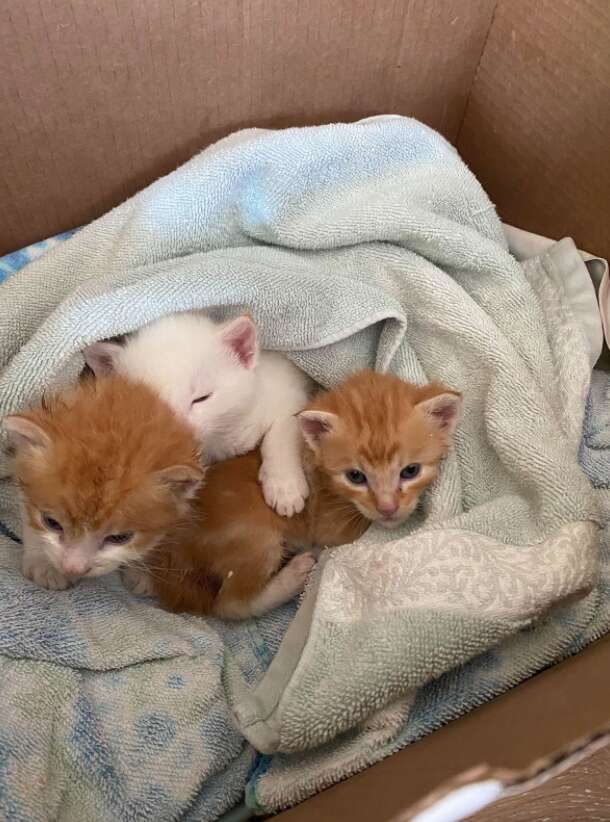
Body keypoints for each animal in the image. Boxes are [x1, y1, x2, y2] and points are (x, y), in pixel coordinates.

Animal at [83, 314, 312, 516]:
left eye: (201, 398)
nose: (181, 432)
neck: (222, 435)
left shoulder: (289, 392)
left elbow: (282, 431)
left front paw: (285, 486)